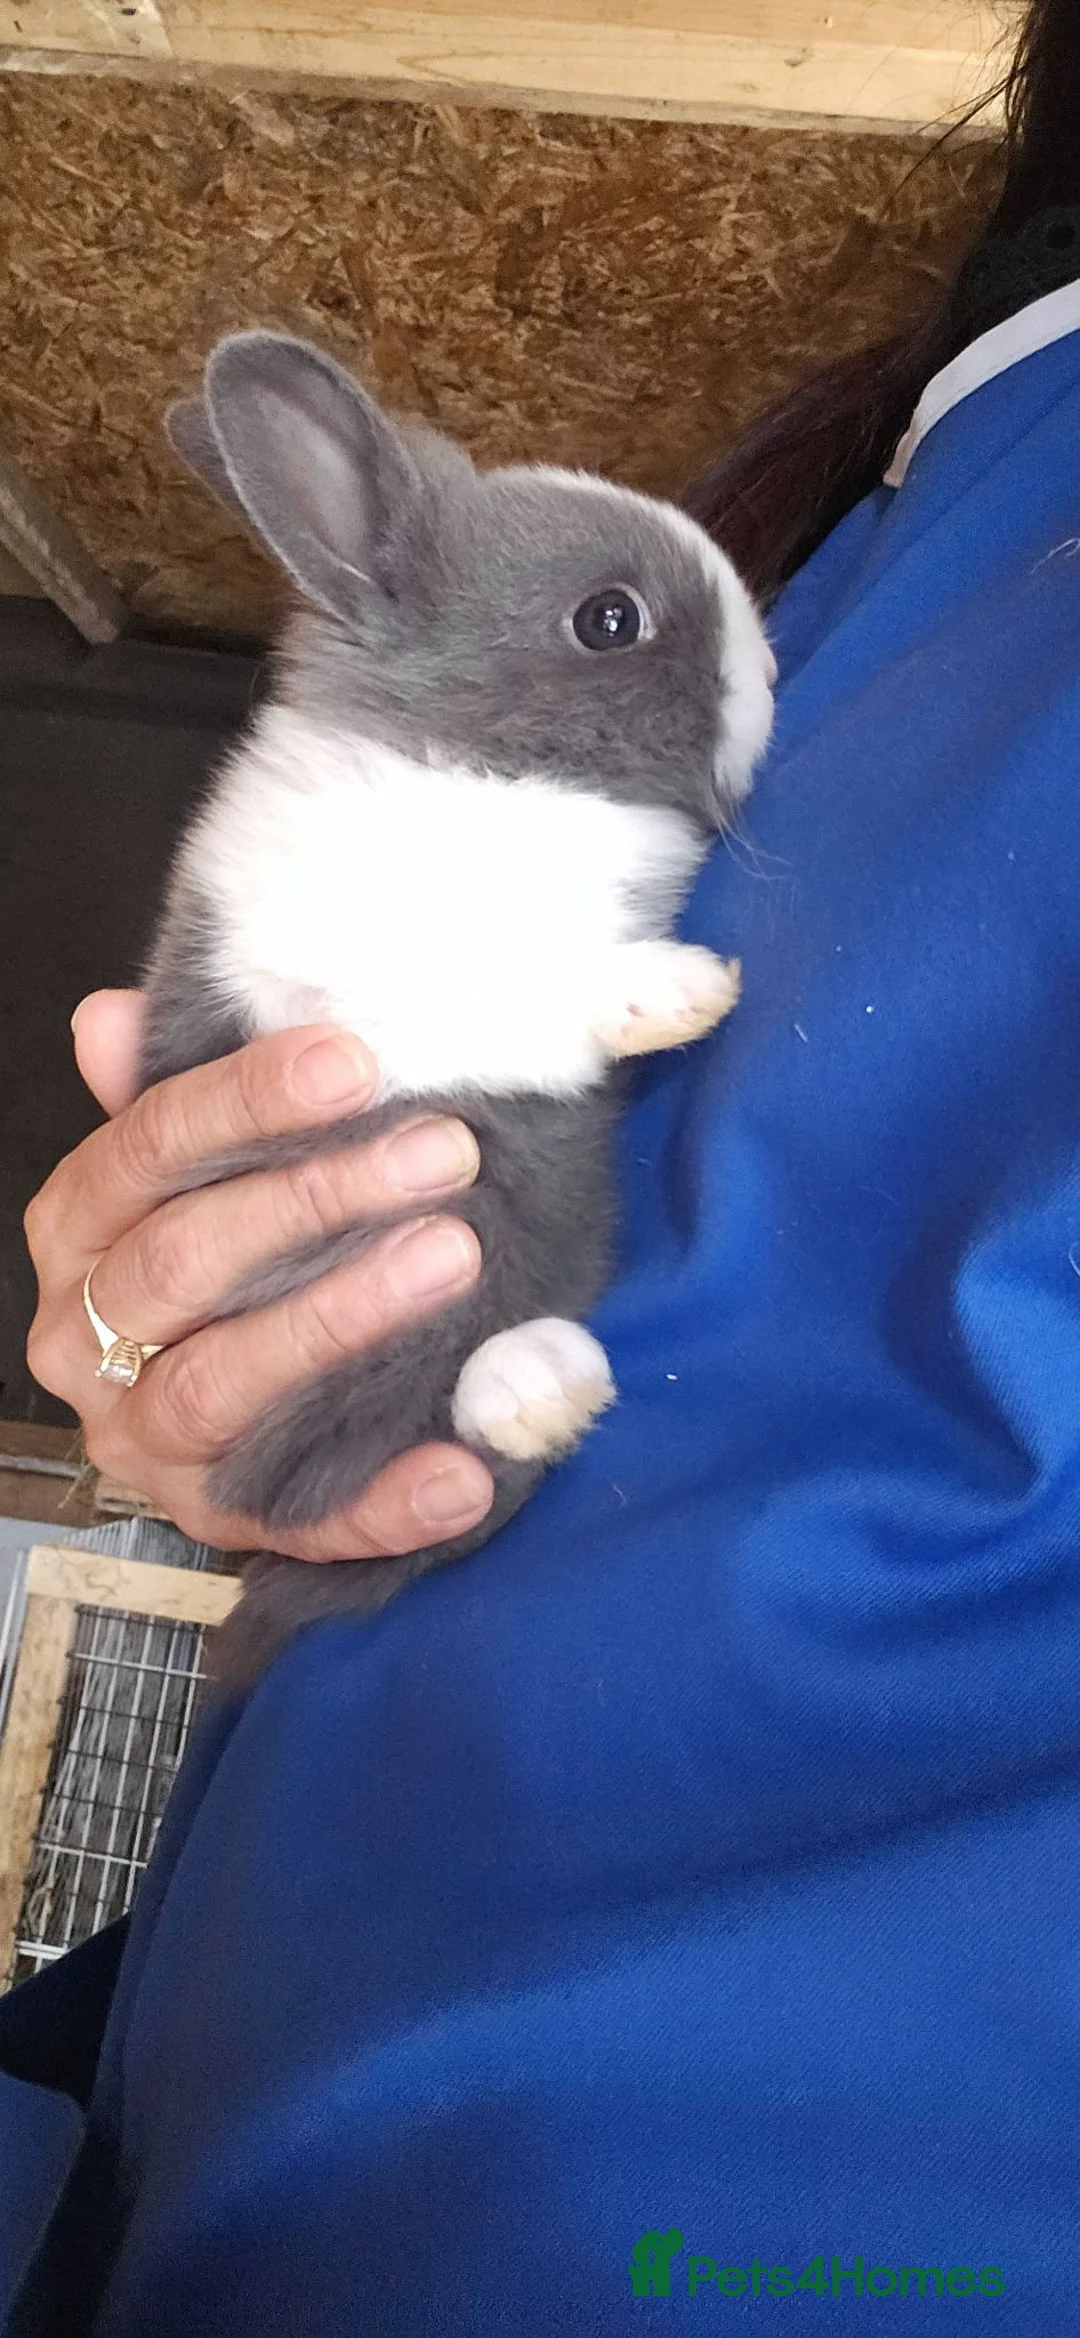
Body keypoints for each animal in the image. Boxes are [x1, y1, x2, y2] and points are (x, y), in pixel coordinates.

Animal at [143, 329, 776, 1685]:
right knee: (349, 1464)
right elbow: (508, 1001)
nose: (766, 667)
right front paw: (675, 988)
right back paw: (540, 1381)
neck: (480, 766)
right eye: (610, 618)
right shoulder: (337, 1014)